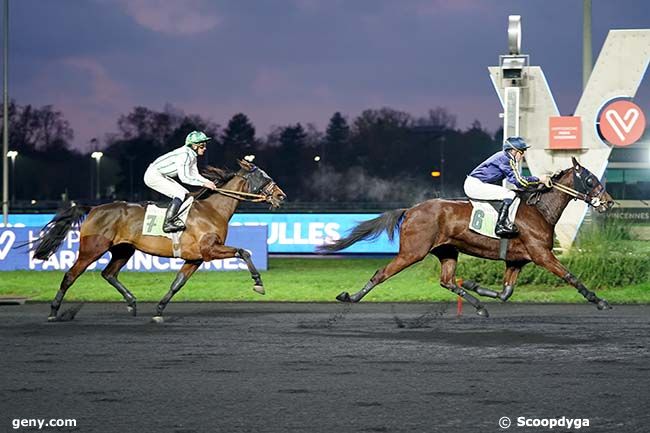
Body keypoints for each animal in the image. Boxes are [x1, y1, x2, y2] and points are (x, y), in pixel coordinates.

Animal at [34, 159, 284, 320]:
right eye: (264, 177)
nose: (281, 195)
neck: (213, 209)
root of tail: (94, 208)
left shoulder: (195, 258)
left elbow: (177, 284)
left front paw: (159, 310)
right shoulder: (210, 250)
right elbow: (244, 252)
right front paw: (258, 283)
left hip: (124, 250)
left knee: (109, 273)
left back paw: (131, 302)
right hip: (92, 248)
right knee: (70, 275)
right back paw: (54, 311)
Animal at [322, 157, 616, 316]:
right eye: (590, 180)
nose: (609, 202)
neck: (538, 210)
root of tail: (411, 209)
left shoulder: (517, 260)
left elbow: (505, 293)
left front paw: (476, 285)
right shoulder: (541, 254)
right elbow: (570, 276)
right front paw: (600, 301)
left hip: (447, 251)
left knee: (448, 281)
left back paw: (478, 305)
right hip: (413, 251)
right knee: (381, 273)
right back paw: (350, 297)